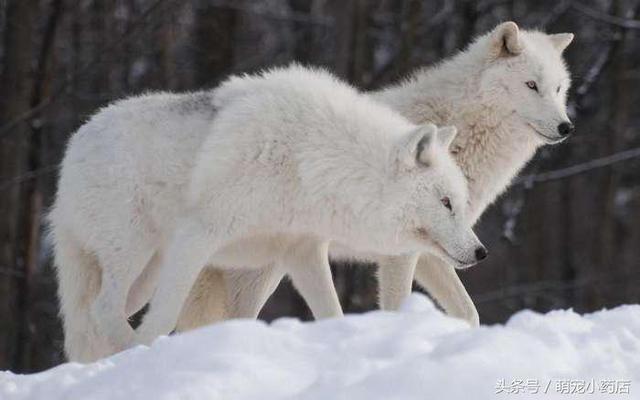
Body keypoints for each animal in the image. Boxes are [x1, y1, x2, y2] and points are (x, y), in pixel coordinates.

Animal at [48, 65, 484, 360]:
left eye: (459, 203)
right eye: (445, 203)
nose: (481, 252)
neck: (309, 158)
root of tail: (74, 144)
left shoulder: (302, 253)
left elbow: (332, 313)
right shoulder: (198, 235)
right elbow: (165, 315)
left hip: (144, 274)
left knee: (95, 315)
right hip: (134, 254)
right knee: (103, 310)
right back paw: (126, 352)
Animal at [175, 20, 576, 328]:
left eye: (559, 88)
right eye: (531, 85)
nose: (566, 126)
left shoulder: (437, 252)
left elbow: (469, 313)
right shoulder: (402, 254)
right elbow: (399, 307)